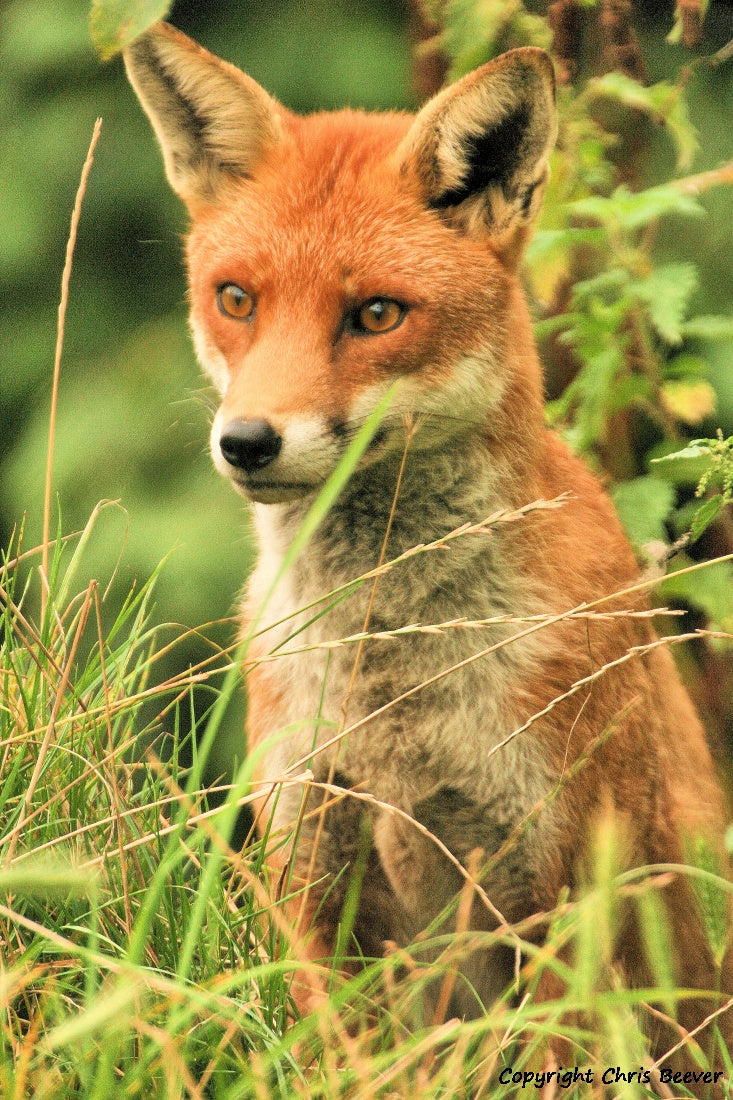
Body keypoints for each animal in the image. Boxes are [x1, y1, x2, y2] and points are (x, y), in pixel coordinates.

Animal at [124, 23, 726, 1082]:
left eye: (375, 314)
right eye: (235, 299)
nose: (247, 442)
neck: (391, 690)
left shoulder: (555, 889)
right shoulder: (316, 878)